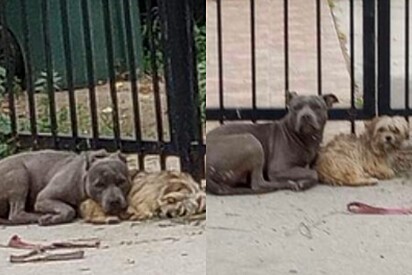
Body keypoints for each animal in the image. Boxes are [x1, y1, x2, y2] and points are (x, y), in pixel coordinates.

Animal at [0, 151, 130, 226]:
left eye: (121, 181)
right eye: (99, 185)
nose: (114, 201)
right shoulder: (43, 198)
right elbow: (69, 210)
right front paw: (52, 218)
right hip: (19, 174)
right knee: (16, 213)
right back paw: (40, 216)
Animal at [206, 91, 338, 195]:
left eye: (317, 107)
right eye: (296, 107)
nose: (305, 116)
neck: (305, 137)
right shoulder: (278, 169)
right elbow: (313, 173)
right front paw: (302, 182)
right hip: (251, 141)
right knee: (258, 183)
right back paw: (286, 184)